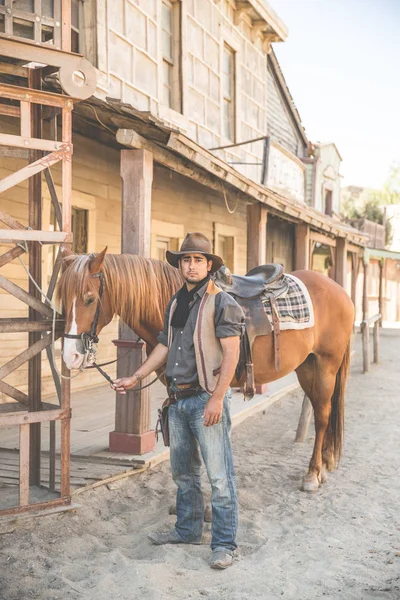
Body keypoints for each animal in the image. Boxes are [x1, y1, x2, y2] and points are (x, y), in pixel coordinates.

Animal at [57, 247, 354, 492]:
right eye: (62, 297)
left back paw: (312, 474)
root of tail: (339, 290)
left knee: (323, 415)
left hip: (326, 365)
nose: (71, 356)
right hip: (307, 367)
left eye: (89, 299)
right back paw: (325, 464)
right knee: (322, 408)